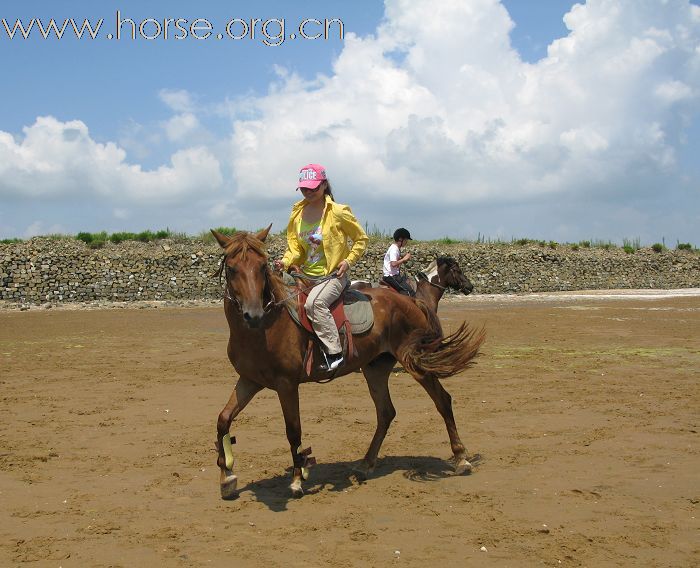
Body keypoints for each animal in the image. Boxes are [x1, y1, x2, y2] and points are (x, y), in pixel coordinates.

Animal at [211, 224, 484, 500]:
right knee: (386, 412)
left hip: (415, 364)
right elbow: (223, 420)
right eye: (232, 268)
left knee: (442, 400)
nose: (253, 314)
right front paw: (227, 477)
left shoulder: (286, 384)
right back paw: (365, 464)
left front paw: (297, 480)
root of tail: (411, 301)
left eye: (261, 267)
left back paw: (461, 458)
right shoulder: (250, 381)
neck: (266, 327)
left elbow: (293, 430)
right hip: (375, 368)